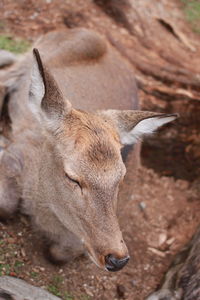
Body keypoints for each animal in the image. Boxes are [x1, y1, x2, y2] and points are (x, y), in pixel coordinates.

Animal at [0, 28, 178, 272]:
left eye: (121, 177)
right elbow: (6, 206)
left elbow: (57, 255)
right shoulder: (18, 150)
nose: (117, 259)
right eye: (72, 177)